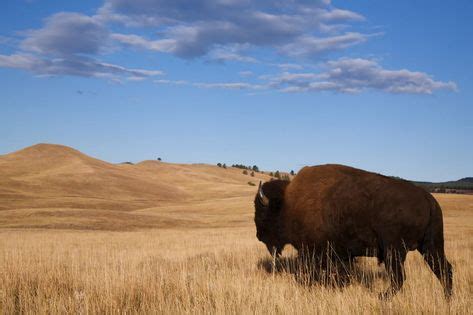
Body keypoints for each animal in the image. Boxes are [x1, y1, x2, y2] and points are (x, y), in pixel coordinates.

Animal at [256, 164, 452, 300]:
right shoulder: (339, 254)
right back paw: (448, 299)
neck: (288, 204)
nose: (259, 235)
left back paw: (381, 297)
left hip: (395, 251)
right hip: (431, 246)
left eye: (263, 213)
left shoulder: (313, 252)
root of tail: (427, 198)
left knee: (400, 278)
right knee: (444, 269)